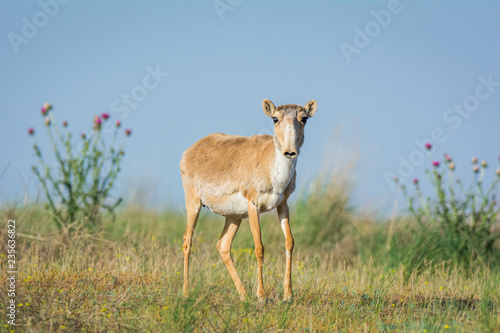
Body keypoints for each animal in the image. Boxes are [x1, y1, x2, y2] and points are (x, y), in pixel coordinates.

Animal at [180, 98, 316, 300]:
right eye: (275, 118)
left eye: (304, 118)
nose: (290, 152)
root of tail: (191, 150)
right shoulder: (254, 205)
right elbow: (259, 247)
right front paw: (262, 296)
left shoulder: (283, 204)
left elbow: (289, 242)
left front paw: (288, 295)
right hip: (194, 204)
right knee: (187, 241)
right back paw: (186, 292)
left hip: (234, 216)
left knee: (223, 245)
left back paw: (243, 295)